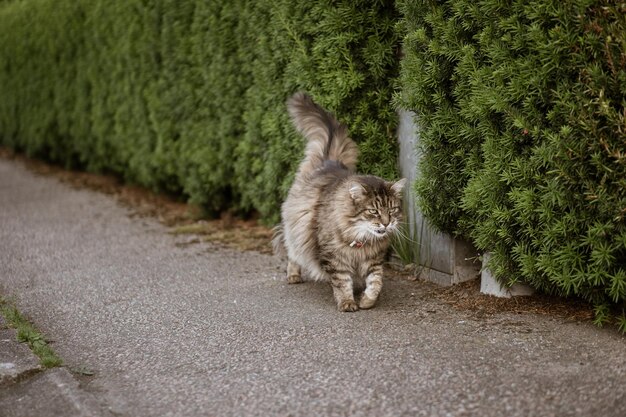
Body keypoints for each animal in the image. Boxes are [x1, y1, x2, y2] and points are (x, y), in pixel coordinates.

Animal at [272, 92, 404, 312]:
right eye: (374, 212)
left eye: (392, 210)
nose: (386, 223)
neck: (361, 239)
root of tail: (330, 160)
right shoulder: (334, 259)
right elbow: (342, 283)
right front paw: (348, 303)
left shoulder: (374, 260)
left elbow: (376, 283)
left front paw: (367, 301)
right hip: (295, 228)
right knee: (292, 252)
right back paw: (294, 275)